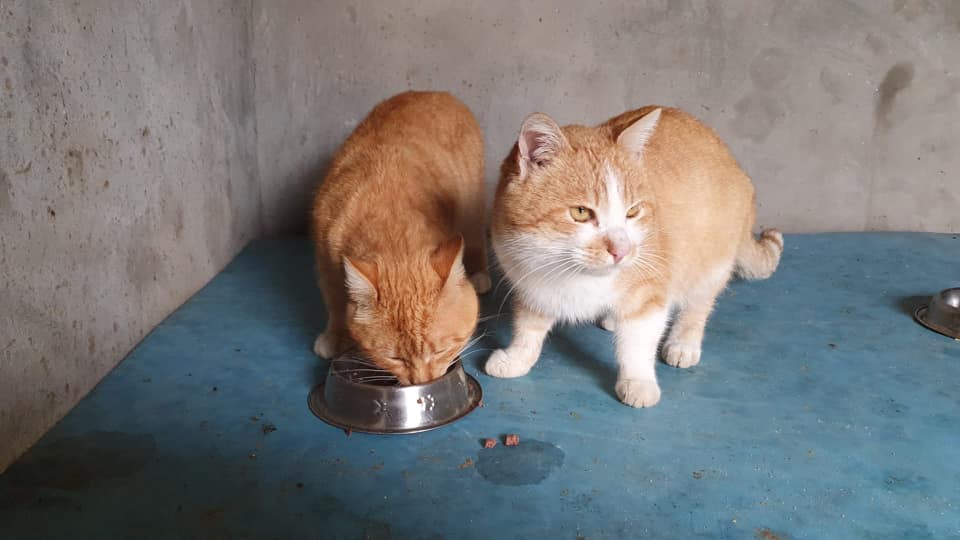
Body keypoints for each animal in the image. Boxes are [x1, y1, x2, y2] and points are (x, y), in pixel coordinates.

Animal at [310, 92, 488, 384]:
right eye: (395, 359)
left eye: (440, 350)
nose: (423, 383)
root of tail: (435, 92)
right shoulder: (325, 262)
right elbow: (335, 302)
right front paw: (336, 334)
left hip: (472, 207)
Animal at [488, 105, 780, 408]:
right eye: (581, 212)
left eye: (633, 212)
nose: (622, 250)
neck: (578, 276)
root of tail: (733, 162)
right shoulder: (531, 284)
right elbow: (528, 328)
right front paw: (516, 358)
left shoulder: (649, 291)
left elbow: (638, 343)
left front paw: (638, 381)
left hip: (711, 263)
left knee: (698, 305)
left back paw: (684, 341)